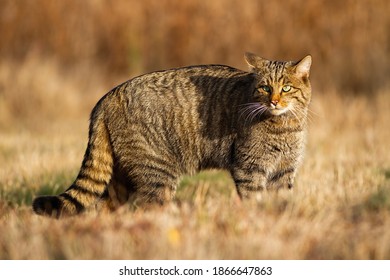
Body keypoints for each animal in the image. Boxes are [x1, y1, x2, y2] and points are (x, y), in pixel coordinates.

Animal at [32, 52, 312, 219]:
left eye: (286, 88)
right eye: (265, 88)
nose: (274, 101)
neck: (284, 126)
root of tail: (107, 96)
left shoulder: (284, 171)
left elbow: (281, 201)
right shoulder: (249, 169)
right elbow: (253, 200)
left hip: (123, 177)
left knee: (104, 205)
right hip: (158, 173)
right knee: (149, 207)